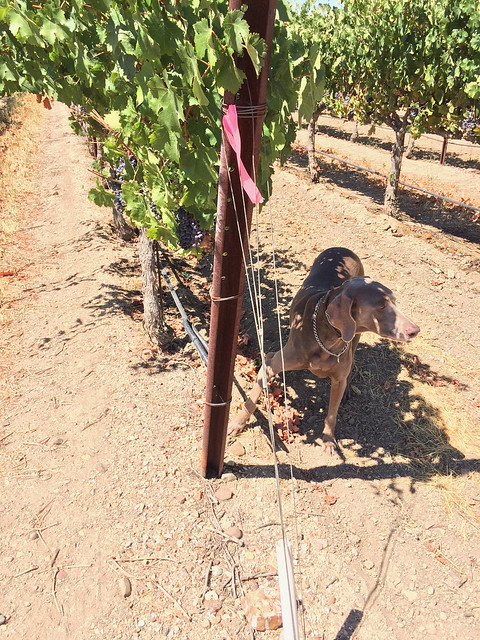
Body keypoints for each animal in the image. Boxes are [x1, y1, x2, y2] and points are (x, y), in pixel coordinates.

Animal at [229, 248, 420, 452]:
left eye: (394, 302)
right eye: (381, 305)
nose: (415, 330)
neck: (328, 338)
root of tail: (342, 249)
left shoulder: (338, 378)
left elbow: (332, 413)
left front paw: (328, 439)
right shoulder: (274, 363)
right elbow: (253, 396)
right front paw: (237, 423)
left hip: (354, 339)